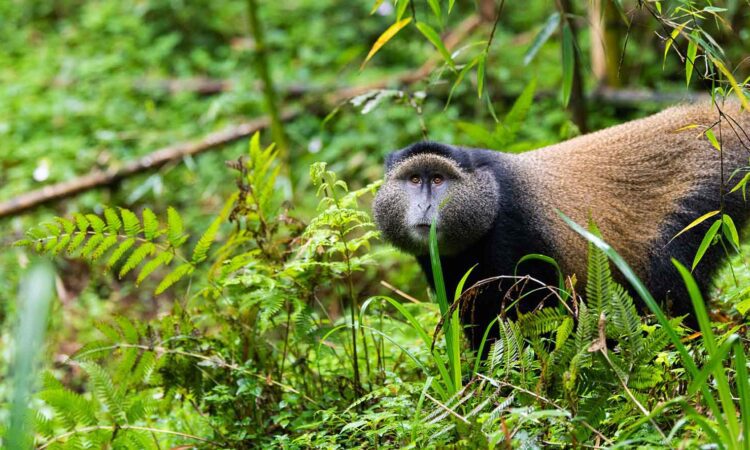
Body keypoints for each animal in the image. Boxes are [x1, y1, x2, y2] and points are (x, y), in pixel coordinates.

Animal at [372, 102, 750, 351]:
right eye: (414, 179)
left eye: (438, 179)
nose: (425, 205)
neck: (489, 196)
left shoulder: (513, 236)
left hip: (705, 202)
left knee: (671, 283)